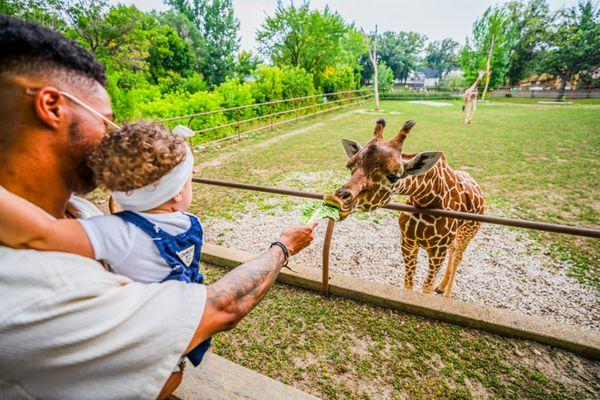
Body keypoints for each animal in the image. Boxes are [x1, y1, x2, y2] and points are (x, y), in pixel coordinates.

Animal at [326, 119, 486, 296]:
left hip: (467, 233)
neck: (427, 199)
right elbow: (408, 284)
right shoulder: (408, 243)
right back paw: (442, 287)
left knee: (458, 257)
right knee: (454, 252)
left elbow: (426, 287)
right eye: (349, 166)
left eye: (393, 176)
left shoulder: (437, 252)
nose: (337, 200)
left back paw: (447, 295)